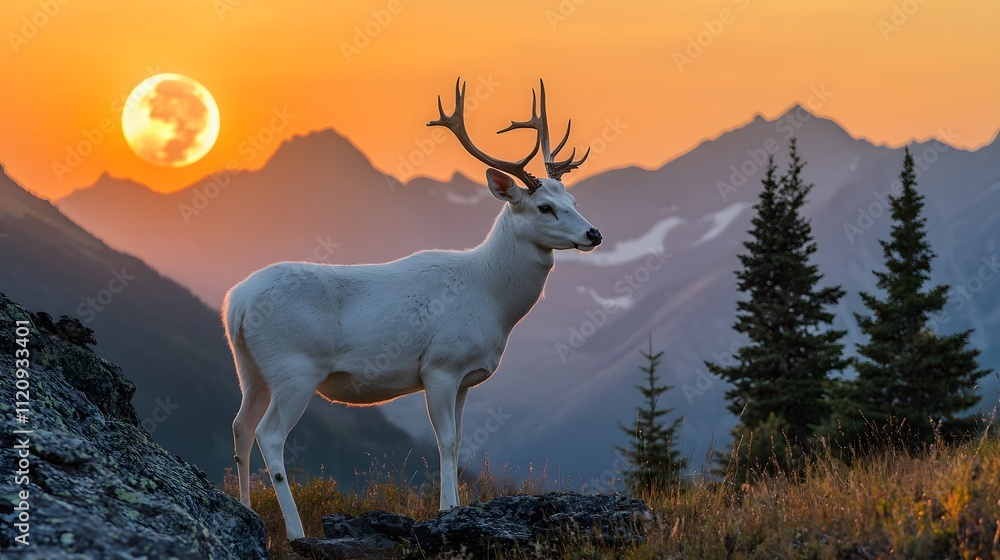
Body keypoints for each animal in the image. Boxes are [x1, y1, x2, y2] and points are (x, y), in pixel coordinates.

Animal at [223, 78, 602, 540]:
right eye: (544, 206)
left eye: (574, 200)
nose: (594, 233)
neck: (492, 301)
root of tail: (237, 305)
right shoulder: (440, 366)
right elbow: (446, 440)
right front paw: (447, 510)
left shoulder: (466, 378)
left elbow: (459, 439)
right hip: (295, 366)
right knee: (270, 434)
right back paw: (296, 532)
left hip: (250, 368)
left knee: (240, 427)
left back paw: (247, 512)